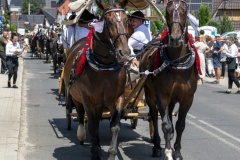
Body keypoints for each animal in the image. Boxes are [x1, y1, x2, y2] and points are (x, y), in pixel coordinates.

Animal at [62, 0, 132, 159]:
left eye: (127, 20)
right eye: (109, 21)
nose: (124, 53)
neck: (104, 66)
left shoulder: (117, 98)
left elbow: (115, 126)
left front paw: (111, 153)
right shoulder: (87, 99)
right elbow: (92, 125)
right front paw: (95, 152)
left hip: (100, 102)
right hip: (76, 96)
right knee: (81, 115)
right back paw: (83, 136)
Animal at [140, 0, 198, 159]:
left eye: (184, 11)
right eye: (167, 11)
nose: (176, 38)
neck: (177, 63)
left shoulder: (187, 98)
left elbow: (180, 125)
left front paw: (177, 151)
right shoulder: (162, 96)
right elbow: (165, 124)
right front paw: (167, 150)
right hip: (150, 93)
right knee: (154, 115)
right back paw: (156, 145)